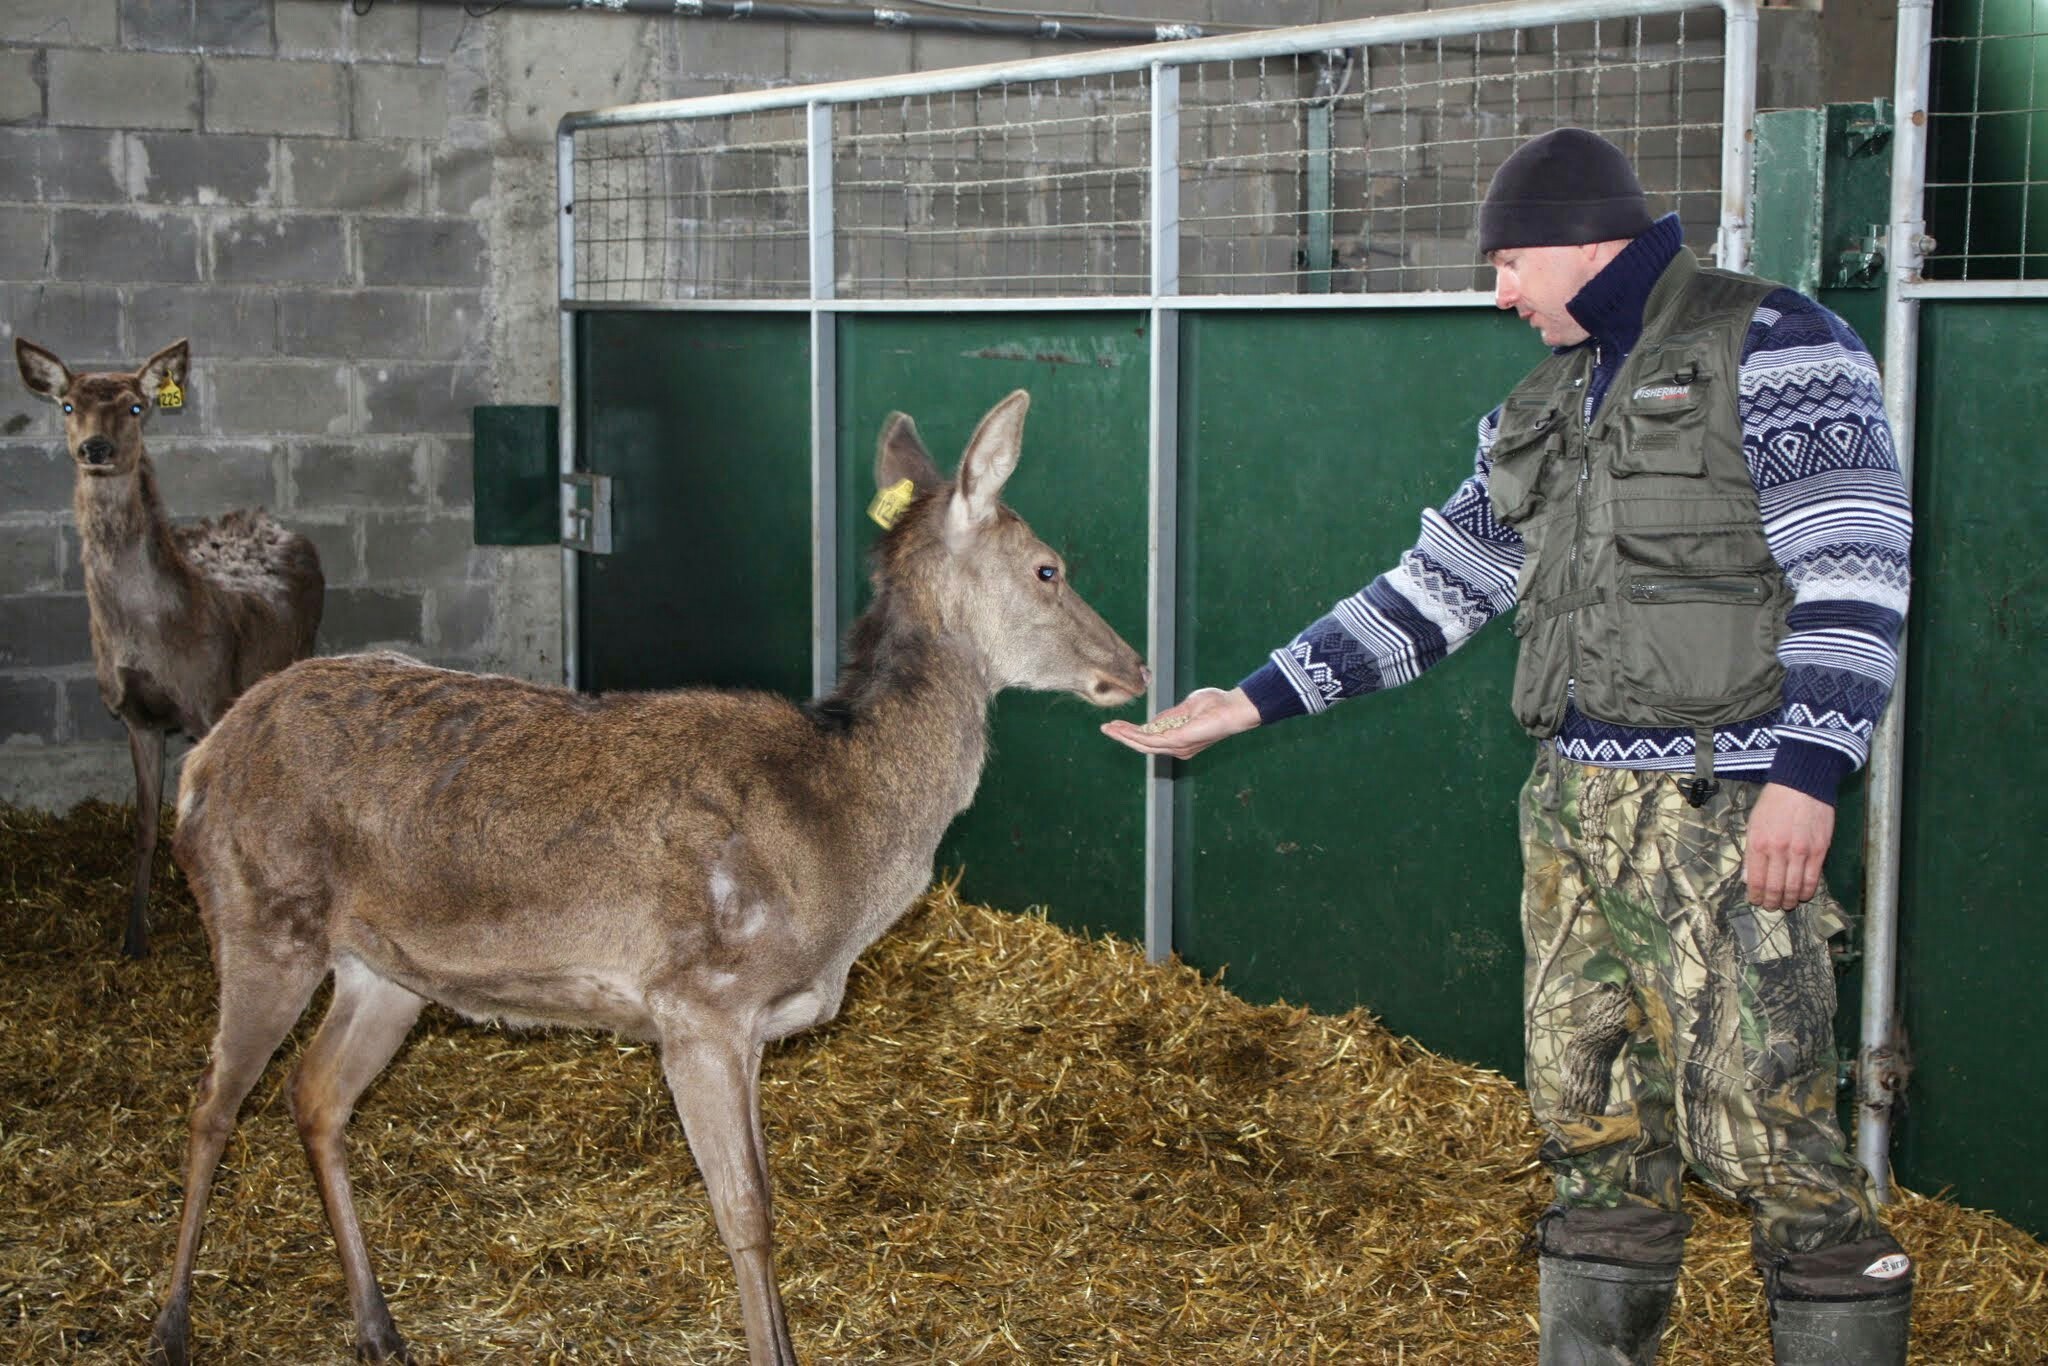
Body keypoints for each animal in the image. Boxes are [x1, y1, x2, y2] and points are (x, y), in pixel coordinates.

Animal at [12, 339, 323, 962]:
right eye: (67, 404)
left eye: (136, 406)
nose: (95, 448)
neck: (148, 638)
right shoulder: (134, 714)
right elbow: (146, 826)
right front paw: (133, 939)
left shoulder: (208, 701)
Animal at [146, 389, 1155, 1359]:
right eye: (1050, 568)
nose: (1136, 668)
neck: (841, 849)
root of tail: (201, 765)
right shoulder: (698, 1002)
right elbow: (745, 1215)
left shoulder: (749, 1028)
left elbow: (764, 1199)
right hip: (261, 916)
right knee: (211, 1102)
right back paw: (172, 1325)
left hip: (386, 970)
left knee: (315, 1096)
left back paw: (378, 1328)